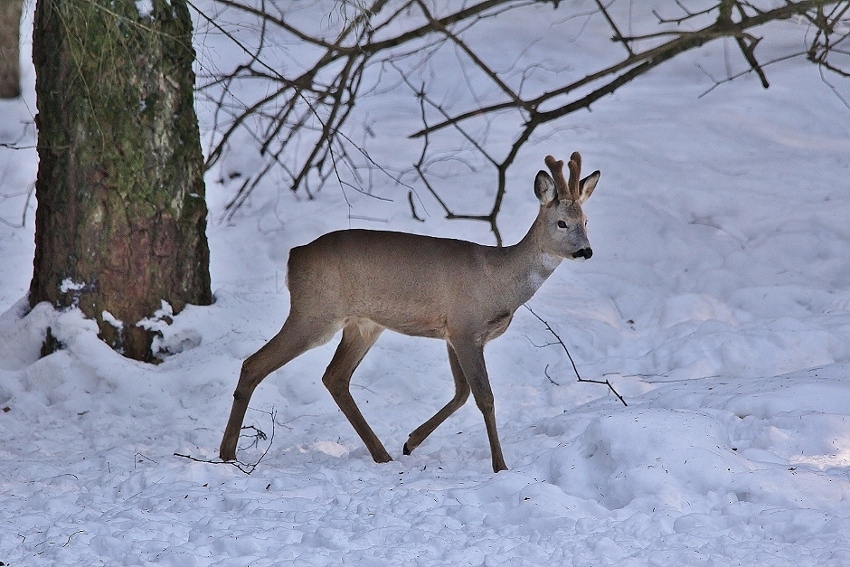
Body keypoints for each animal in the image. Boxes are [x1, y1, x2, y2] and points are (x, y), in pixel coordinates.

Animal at [222, 152, 600, 474]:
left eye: (586, 220)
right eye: (561, 223)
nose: (586, 251)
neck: (499, 281)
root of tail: (293, 256)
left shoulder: (453, 333)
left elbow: (461, 393)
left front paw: (410, 442)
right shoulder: (465, 327)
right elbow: (485, 398)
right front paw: (500, 466)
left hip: (363, 325)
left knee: (335, 377)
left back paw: (382, 454)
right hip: (314, 313)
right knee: (254, 364)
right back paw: (227, 454)